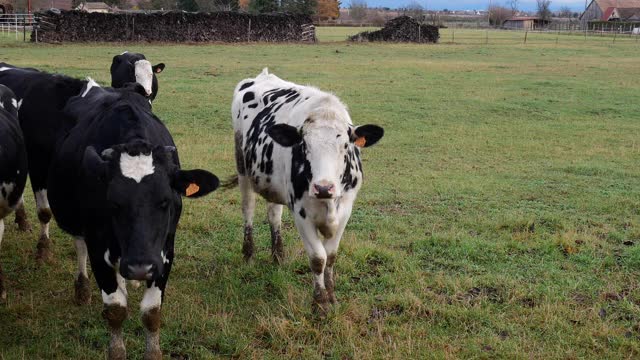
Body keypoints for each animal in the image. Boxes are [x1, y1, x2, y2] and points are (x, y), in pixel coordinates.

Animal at [47, 80, 220, 358]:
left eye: (165, 201)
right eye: (113, 203)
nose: (140, 266)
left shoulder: (165, 252)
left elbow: (151, 313)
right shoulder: (99, 248)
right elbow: (115, 310)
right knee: (80, 245)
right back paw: (83, 288)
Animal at [230, 68, 382, 316]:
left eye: (346, 146)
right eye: (304, 146)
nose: (323, 187)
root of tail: (262, 75)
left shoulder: (346, 210)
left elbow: (331, 257)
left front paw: (332, 297)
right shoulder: (301, 214)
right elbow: (318, 258)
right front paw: (319, 303)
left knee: (274, 214)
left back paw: (278, 255)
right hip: (242, 166)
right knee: (248, 209)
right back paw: (248, 253)